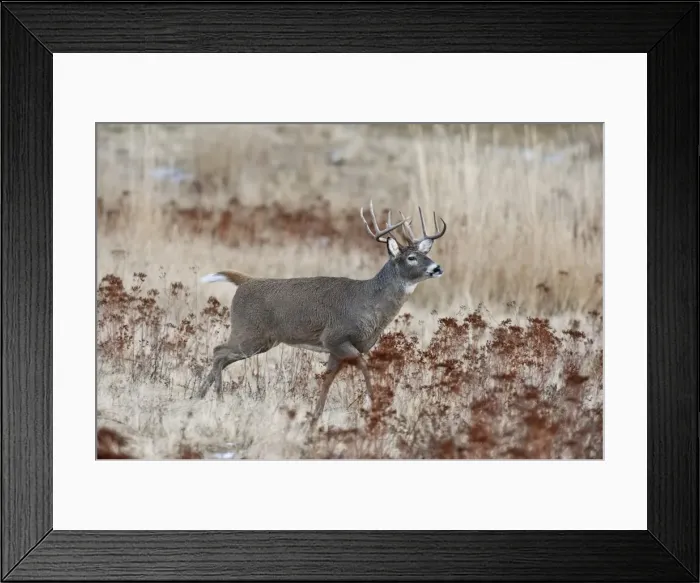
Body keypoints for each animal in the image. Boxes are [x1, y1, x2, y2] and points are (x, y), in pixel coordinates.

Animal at [194, 201, 447, 427]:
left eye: (426, 254)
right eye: (411, 258)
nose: (437, 268)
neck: (369, 305)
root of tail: (245, 281)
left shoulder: (337, 349)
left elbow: (327, 381)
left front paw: (315, 418)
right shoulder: (335, 337)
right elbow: (364, 368)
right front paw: (375, 406)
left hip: (262, 339)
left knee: (222, 355)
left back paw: (197, 396)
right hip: (250, 333)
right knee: (219, 351)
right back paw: (217, 398)